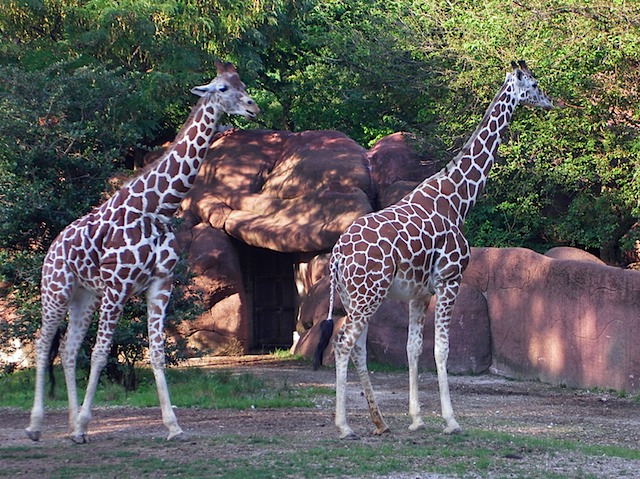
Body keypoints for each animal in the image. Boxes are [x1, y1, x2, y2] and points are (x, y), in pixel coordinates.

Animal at [26, 62, 258, 444]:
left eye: (242, 84)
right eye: (223, 88)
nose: (253, 107)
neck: (157, 209)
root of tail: (52, 247)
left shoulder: (160, 284)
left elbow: (158, 353)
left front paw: (173, 426)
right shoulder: (118, 286)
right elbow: (101, 353)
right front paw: (87, 421)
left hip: (84, 296)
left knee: (68, 350)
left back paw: (72, 427)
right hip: (56, 289)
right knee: (45, 345)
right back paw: (36, 426)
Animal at [312, 62, 552, 440]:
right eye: (535, 84)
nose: (550, 102)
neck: (457, 200)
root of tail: (336, 256)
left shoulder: (419, 293)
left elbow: (412, 350)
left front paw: (417, 418)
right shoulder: (449, 280)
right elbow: (441, 349)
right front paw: (451, 421)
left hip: (354, 297)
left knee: (358, 348)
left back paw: (380, 422)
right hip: (368, 295)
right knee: (342, 343)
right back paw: (345, 425)